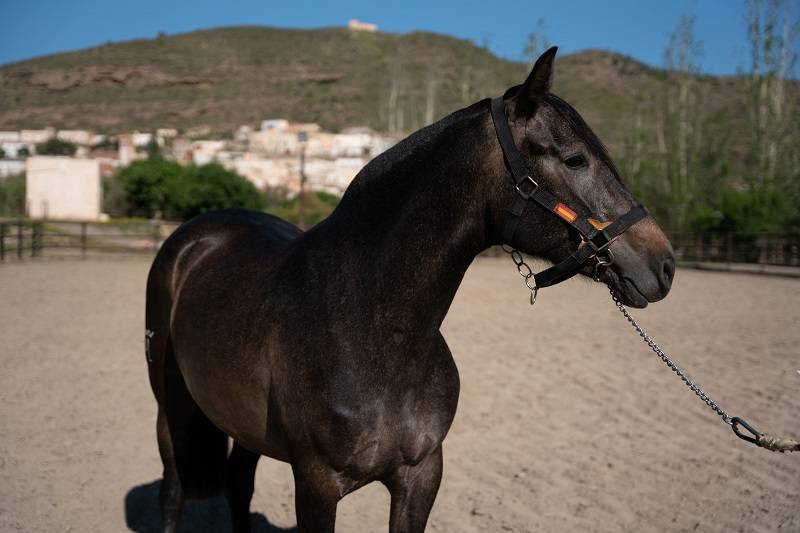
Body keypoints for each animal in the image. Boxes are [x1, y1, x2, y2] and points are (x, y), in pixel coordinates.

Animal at [145, 47, 675, 533]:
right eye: (575, 159)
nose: (664, 264)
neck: (369, 325)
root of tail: (196, 236)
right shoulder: (316, 483)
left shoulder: (421, 475)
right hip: (171, 408)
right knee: (172, 491)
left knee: (238, 483)